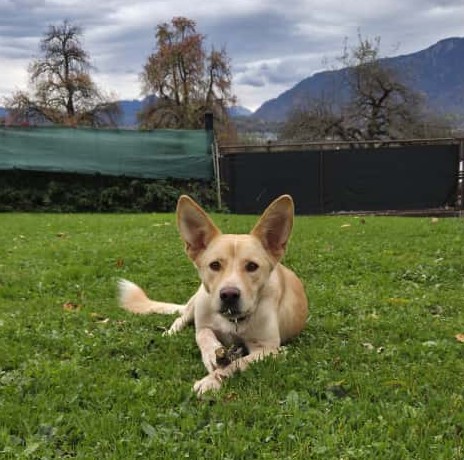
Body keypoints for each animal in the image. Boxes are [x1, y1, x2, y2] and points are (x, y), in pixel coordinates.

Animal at [119, 194, 308, 395]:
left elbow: (237, 363)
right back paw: (171, 332)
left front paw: (211, 380)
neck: (233, 322)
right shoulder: (203, 326)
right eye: (215, 265)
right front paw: (212, 353)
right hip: (197, 300)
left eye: (252, 266)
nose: (229, 295)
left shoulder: (267, 348)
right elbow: (204, 335)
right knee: (180, 318)